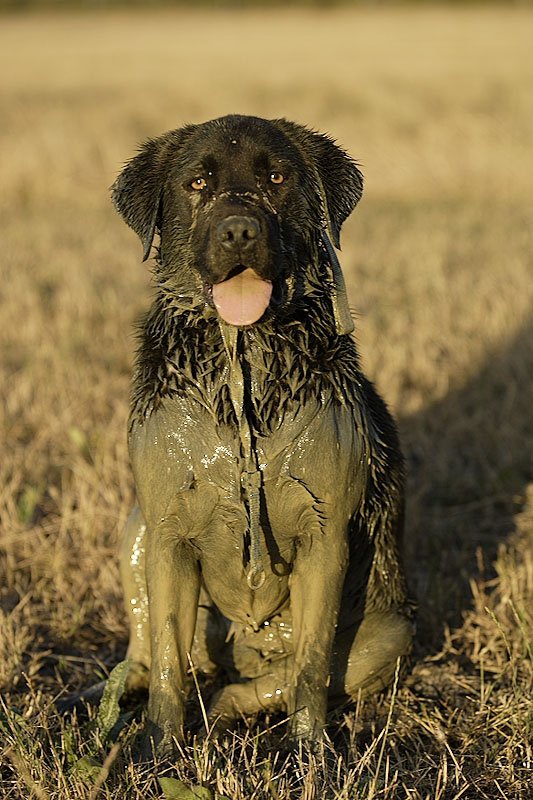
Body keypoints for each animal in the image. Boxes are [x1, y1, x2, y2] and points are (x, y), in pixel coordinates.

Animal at [111, 114, 412, 756]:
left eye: (277, 177)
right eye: (197, 183)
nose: (239, 232)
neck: (245, 360)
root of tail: (247, 650)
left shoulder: (325, 539)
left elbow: (311, 666)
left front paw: (312, 756)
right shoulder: (168, 536)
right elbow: (168, 660)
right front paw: (159, 753)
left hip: (391, 629)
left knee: (253, 684)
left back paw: (229, 713)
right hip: (135, 528)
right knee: (152, 650)